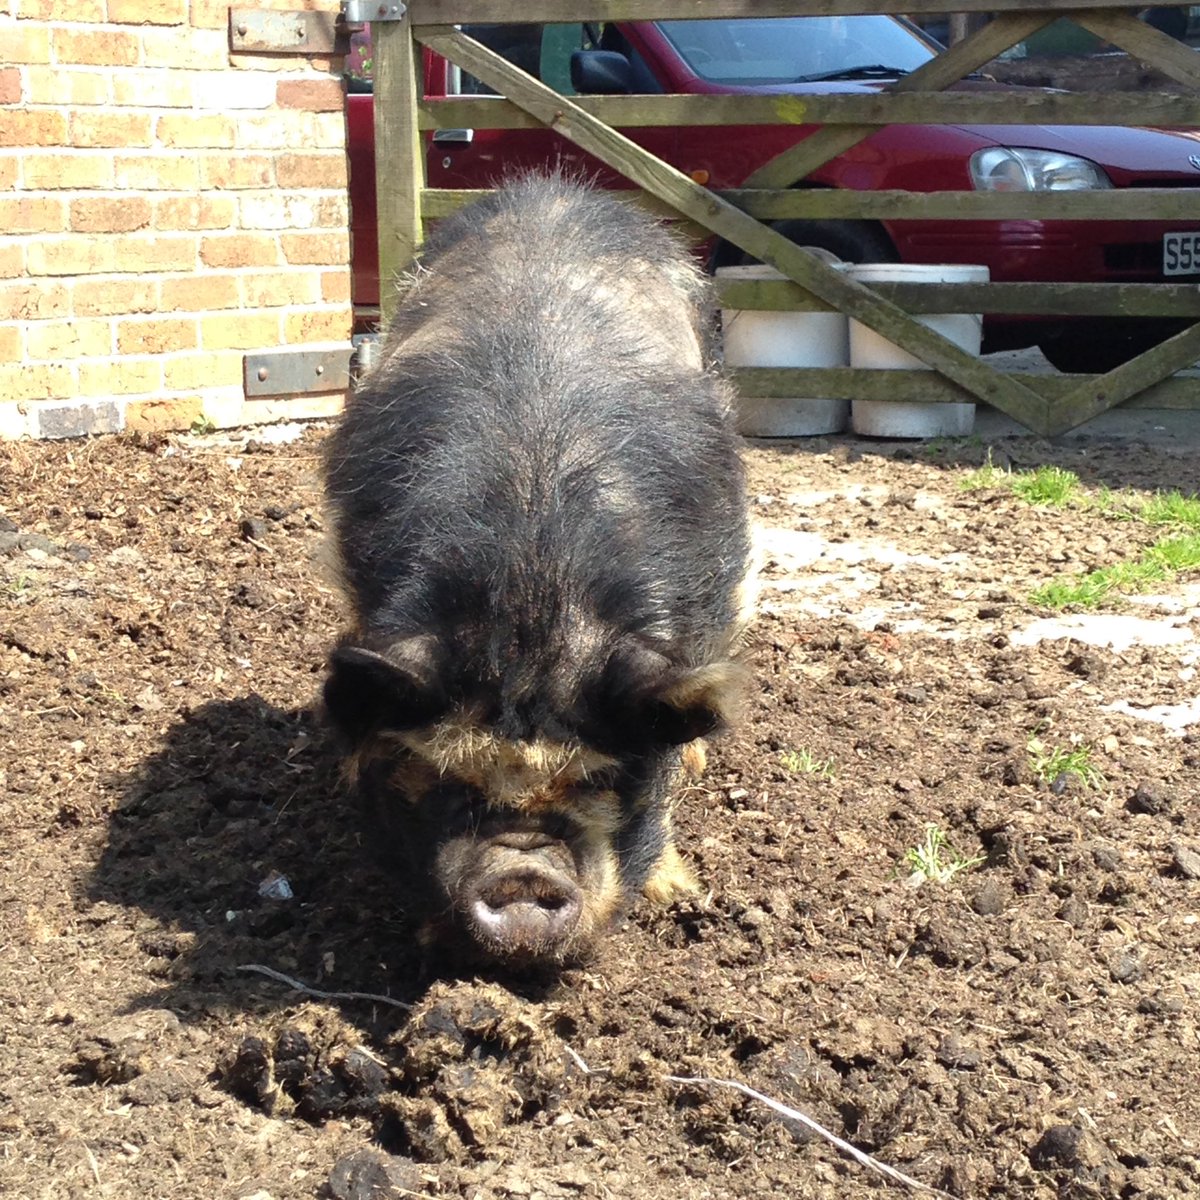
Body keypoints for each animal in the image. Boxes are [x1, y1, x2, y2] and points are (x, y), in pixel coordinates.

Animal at [322, 173, 751, 966]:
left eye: (602, 779)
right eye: (447, 778)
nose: (523, 881)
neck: (533, 590)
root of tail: (553, 189)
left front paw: (676, 891)